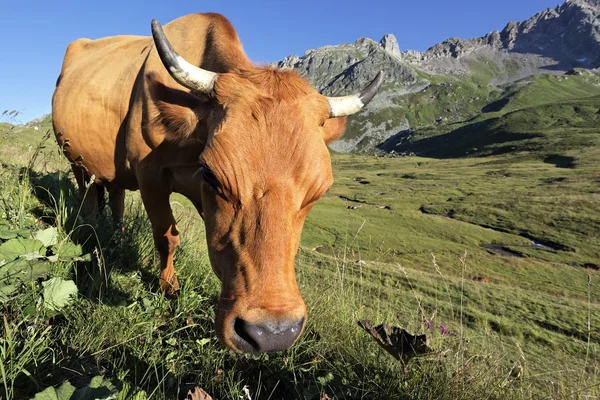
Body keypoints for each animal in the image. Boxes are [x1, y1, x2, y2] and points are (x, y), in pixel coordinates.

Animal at [50, 13, 380, 354]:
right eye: (211, 174)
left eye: (319, 191)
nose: (272, 333)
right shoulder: (150, 174)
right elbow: (166, 237)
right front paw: (169, 287)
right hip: (75, 158)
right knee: (88, 196)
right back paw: (92, 230)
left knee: (115, 197)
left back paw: (118, 233)